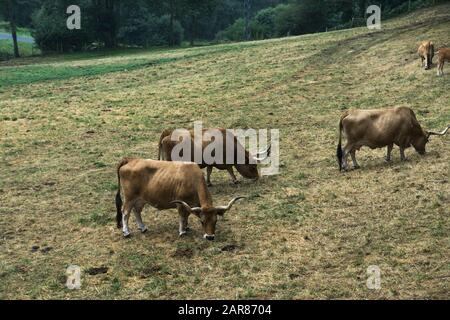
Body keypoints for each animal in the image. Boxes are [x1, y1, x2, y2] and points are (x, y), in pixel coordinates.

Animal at [114, 158, 244, 240]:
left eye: (215, 221)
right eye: (202, 221)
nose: (210, 237)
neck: (192, 178)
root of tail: (130, 159)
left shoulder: (190, 205)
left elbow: (187, 215)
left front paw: (186, 227)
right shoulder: (181, 204)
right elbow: (182, 217)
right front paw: (182, 231)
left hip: (140, 199)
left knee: (137, 211)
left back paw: (142, 227)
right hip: (129, 198)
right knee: (125, 212)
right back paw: (126, 232)